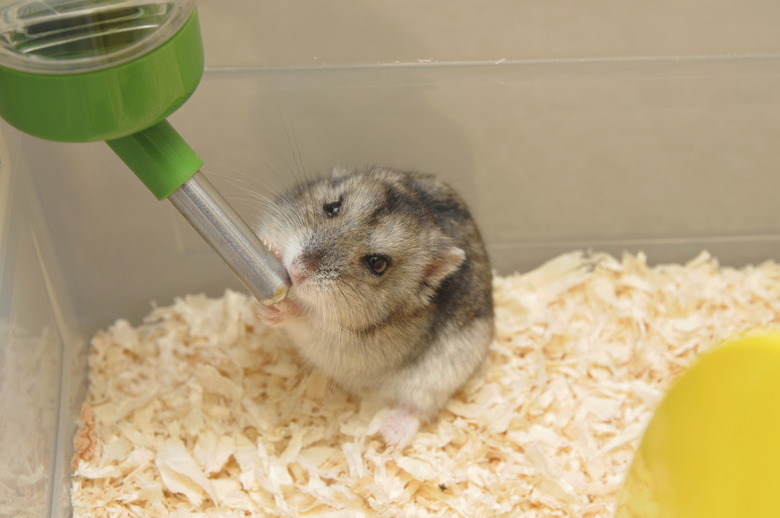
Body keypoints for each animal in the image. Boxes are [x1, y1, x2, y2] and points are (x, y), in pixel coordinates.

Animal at [255, 165, 494, 448]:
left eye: (377, 263)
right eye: (332, 207)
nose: (297, 270)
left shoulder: (343, 342)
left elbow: (307, 321)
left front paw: (279, 309)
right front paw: (269, 246)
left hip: (437, 379)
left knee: (418, 408)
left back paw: (390, 436)